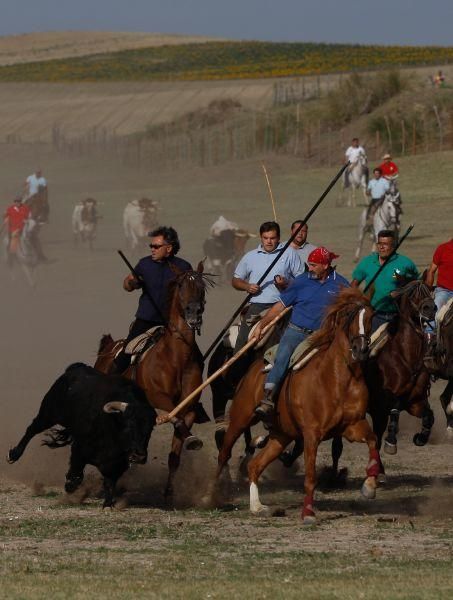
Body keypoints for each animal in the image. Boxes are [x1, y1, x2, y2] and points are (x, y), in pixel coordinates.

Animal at [6, 364, 155, 508]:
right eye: (129, 425)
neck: (112, 424)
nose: (139, 456)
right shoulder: (79, 448)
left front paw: (107, 504)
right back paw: (13, 455)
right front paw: (69, 487)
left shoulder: (117, 464)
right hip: (48, 414)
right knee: (32, 429)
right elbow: (76, 475)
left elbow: (110, 483)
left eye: (150, 429)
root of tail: (75, 367)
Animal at [94, 260, 214, 500]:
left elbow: (175, 454)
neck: (176, 358)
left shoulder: (189, 407)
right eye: (181, 285)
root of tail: (109, 347)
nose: (194, 315)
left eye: (202, 287)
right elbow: (173, 416)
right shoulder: (157, 397)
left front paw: (168, 493)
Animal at [207, 288, 376, 524]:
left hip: (281, 435)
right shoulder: (312, 434)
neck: (337, 379)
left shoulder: (352, 426)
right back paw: (212, 495)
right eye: (348, 315)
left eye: (370, 316)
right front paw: (308, 513)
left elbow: (373, 441)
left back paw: (257, 506)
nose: (361, 350)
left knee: (254, 465)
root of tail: (250, 371)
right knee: (224, 452)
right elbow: (310, 477)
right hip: (240, 418)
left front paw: (369, 486)